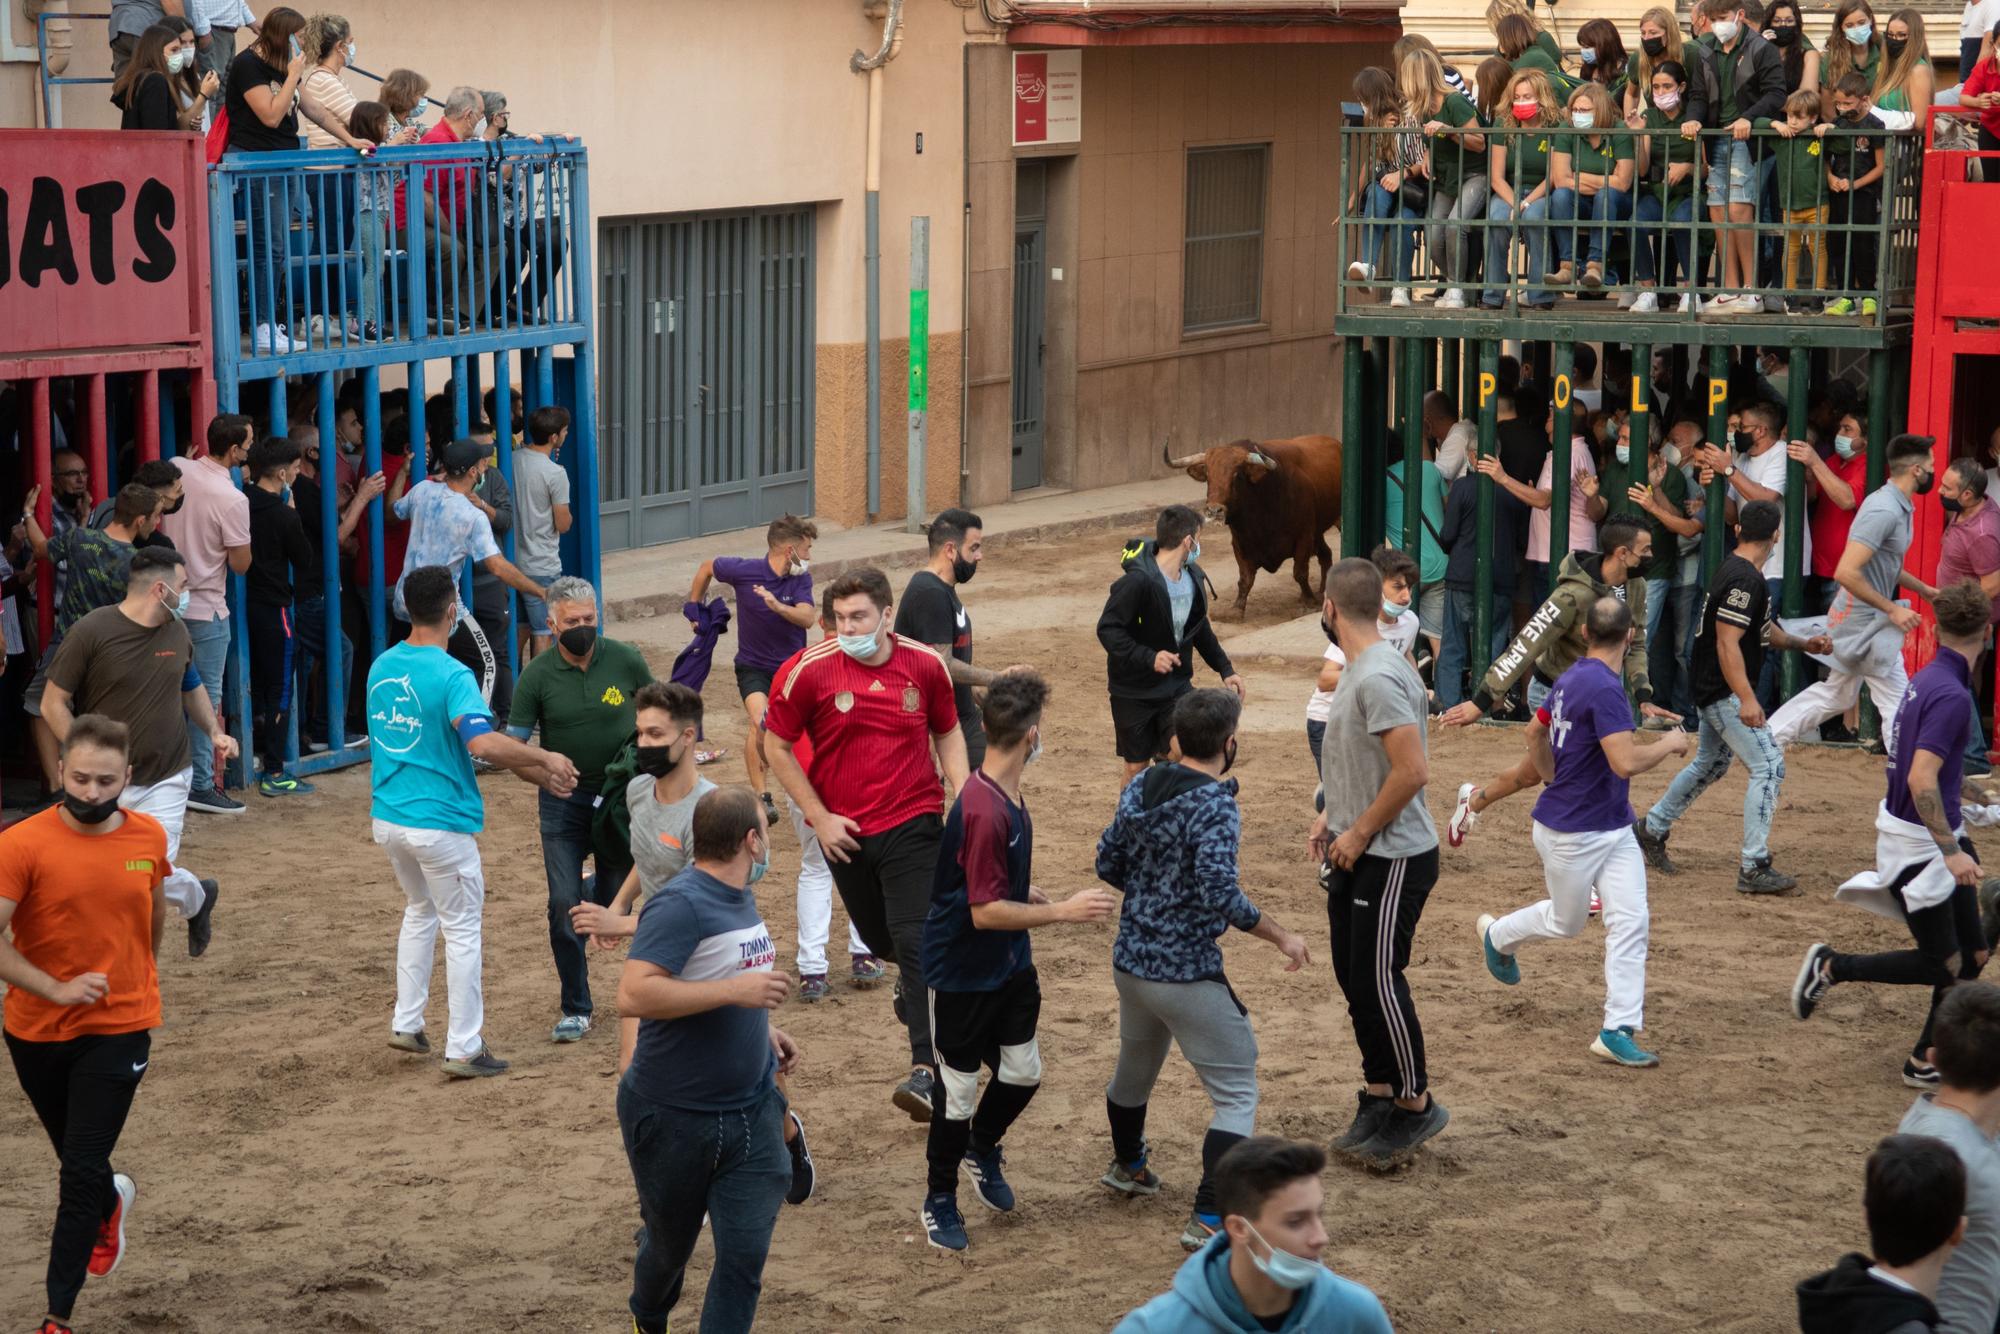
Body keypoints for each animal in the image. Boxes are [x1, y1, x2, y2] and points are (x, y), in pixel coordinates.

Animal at [1168, 438, 1344, 620]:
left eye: (1236, 475)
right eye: (1209, 474)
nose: (1214, 510)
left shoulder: (1304, 536)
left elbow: (1300, 572)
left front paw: (1308, 601)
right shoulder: (1239, 542)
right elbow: (1245, 579)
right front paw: (1237, 608)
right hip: (1318, 533)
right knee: (1326, 554)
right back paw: (1323, 591)